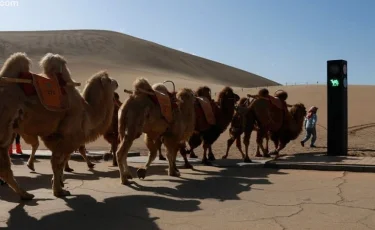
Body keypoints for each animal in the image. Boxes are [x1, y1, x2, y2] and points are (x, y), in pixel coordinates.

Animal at [0, 52, 119, 199]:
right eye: (108, 80)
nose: (117, 82)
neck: (87, 112)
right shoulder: (66, 137)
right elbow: (58, 163)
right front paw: (59, 191)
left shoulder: (54, 137)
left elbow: (58, 162)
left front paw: (59, 185)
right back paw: (26, 194)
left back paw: (25, 194)